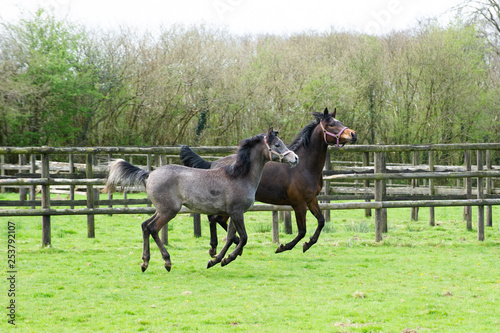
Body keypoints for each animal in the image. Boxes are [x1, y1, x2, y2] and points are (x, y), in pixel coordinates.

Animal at [102, 127, 296, 270]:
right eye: (277, 145)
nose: (295, 158)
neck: (239, 176)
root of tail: (149, 174)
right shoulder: (237, 212)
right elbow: (243, 238)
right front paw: (224, 259)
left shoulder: (234, 213)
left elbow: (231, 238)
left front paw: (216, 260)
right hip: (169, 211)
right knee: (153, 228)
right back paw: (166, 262)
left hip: (161, 210)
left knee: (144, 226)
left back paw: (145, 262)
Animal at [180, 107, 356, 255]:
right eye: (332, 124)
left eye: (340, 122)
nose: (353, 134)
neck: (303, 166)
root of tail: (213, 164)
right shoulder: (298, 203)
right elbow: (302, 231)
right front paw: (283, 247)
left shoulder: (311, 199)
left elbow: (321, 221)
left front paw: (308, 244)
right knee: (214, 219)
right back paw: (220, 247)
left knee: (217, 220)